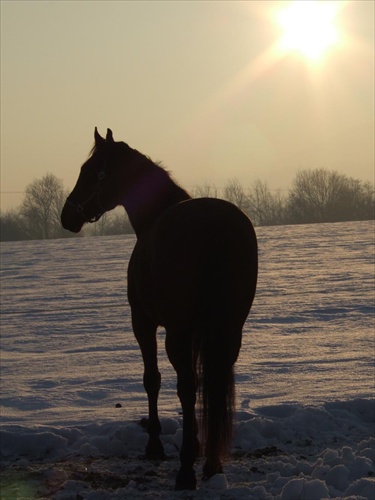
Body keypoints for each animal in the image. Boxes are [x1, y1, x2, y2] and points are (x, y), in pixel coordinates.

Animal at [61, 127, 258, 490]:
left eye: (90, 170)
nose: (67, 216)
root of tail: (215, 227)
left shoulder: (144, 323)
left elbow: (152, 379)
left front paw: (154, 445)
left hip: (176, 333)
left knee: (187, 387)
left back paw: (186, 471)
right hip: (229, 330)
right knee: (213, 383)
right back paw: (211, 464)